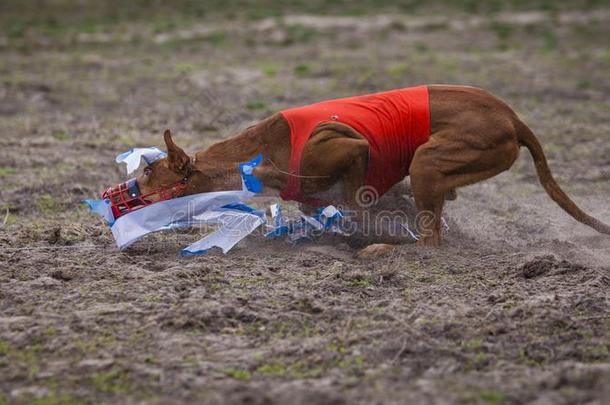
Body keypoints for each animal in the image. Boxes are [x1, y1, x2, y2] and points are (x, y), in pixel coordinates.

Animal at [113, 83, 604, 251]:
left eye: (146, 174)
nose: (119, 196)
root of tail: (512, 117)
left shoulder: (351, 148)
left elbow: (349, 197)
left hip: (426, 161)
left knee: (433, 238)